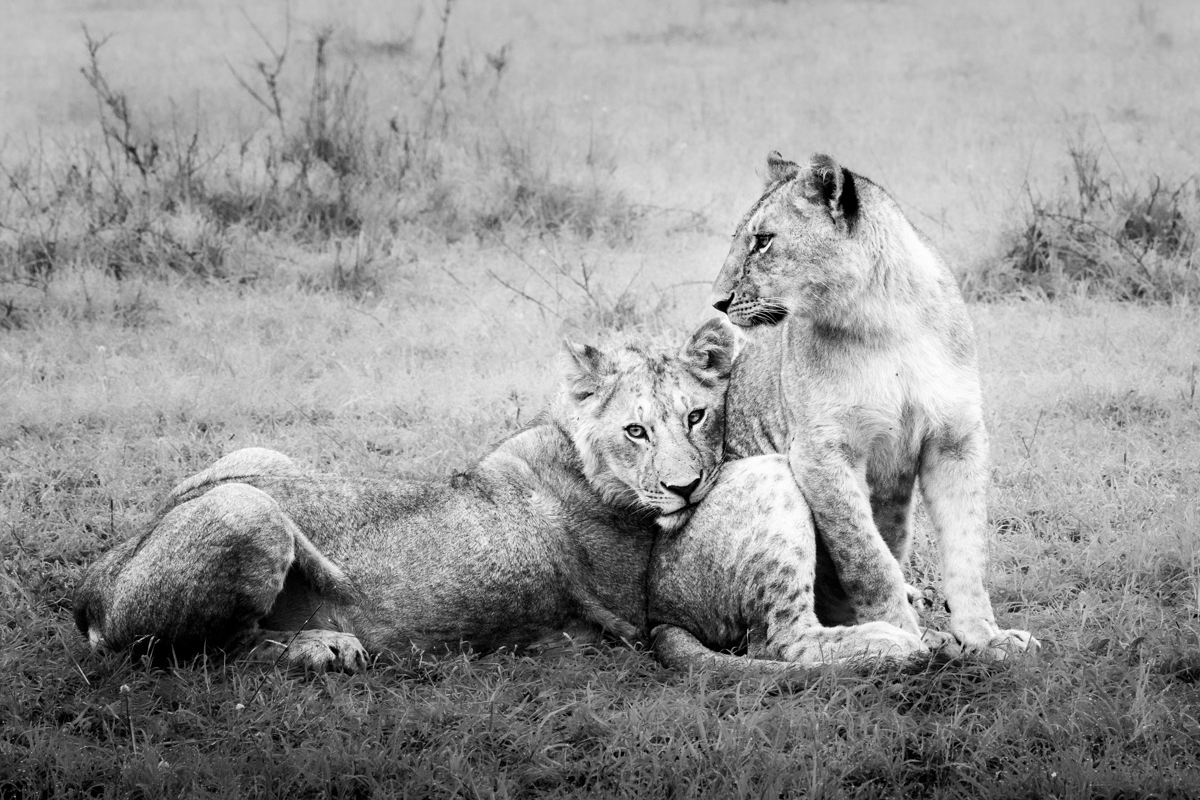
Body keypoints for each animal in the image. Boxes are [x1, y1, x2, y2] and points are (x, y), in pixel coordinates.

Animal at [73, 321, 735, 671]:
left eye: (697, 416)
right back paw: (324, 647)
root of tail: (92, 586)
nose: (685, 488)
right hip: (247, 508)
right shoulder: (636, 615)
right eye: (636, 431)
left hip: (256, 457)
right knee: (212, 653)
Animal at [650, 152, 1036, 668]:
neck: (885, 318)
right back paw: (891, 644)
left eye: (763, 241)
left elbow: (967, 553)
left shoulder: (955, 440)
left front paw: (986, 639)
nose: (718, 301)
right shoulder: (821, 451)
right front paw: (910, 635)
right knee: (779, 639)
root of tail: (658, 611)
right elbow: (867, 559)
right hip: (770, 477)